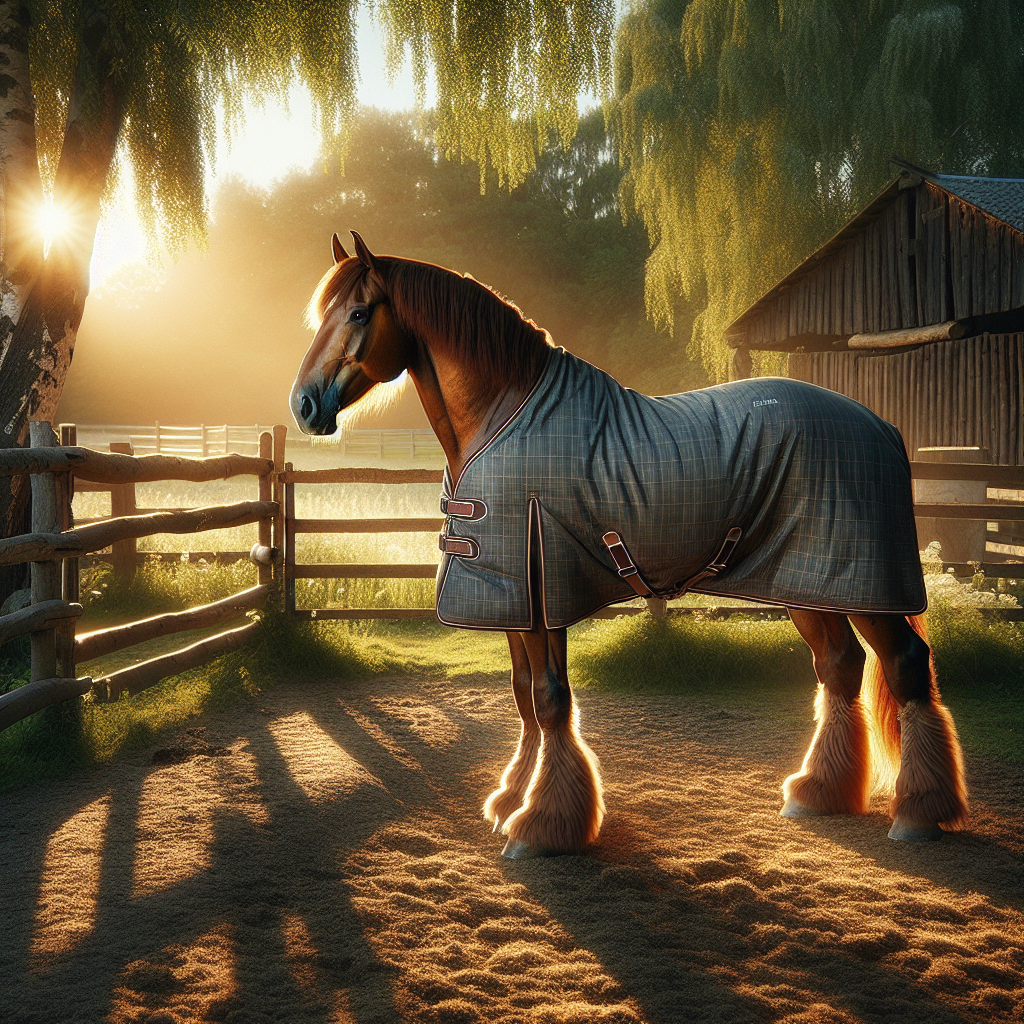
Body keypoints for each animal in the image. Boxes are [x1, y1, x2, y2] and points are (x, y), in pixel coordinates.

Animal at [289, 231, 969, 859]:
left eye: (358, 313)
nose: (304, 404)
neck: (503, 415)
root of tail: (879, 425)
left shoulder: (543, 592)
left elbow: (549, 700)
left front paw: (543, 824)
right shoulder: (512, 599)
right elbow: (522, 697)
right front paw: (511, 801)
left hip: (864, 586)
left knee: (904, 665)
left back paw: (919, 812)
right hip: (808, 583)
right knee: (839, 666)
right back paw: (820, 791)